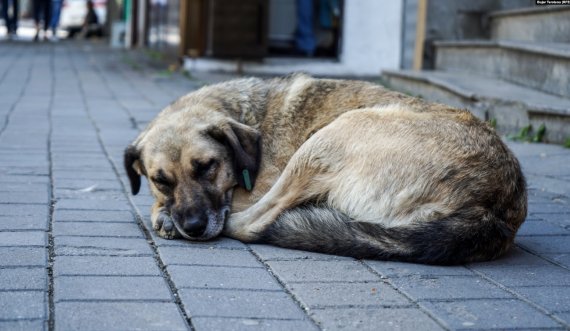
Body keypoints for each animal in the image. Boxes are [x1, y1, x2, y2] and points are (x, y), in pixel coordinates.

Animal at [123, 74, 524, 264]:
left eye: (207, 167)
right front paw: (164, 210)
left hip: (332, 136)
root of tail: (494, 207)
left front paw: (162, 214)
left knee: (253, 223)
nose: (193, 227)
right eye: (160, 180)